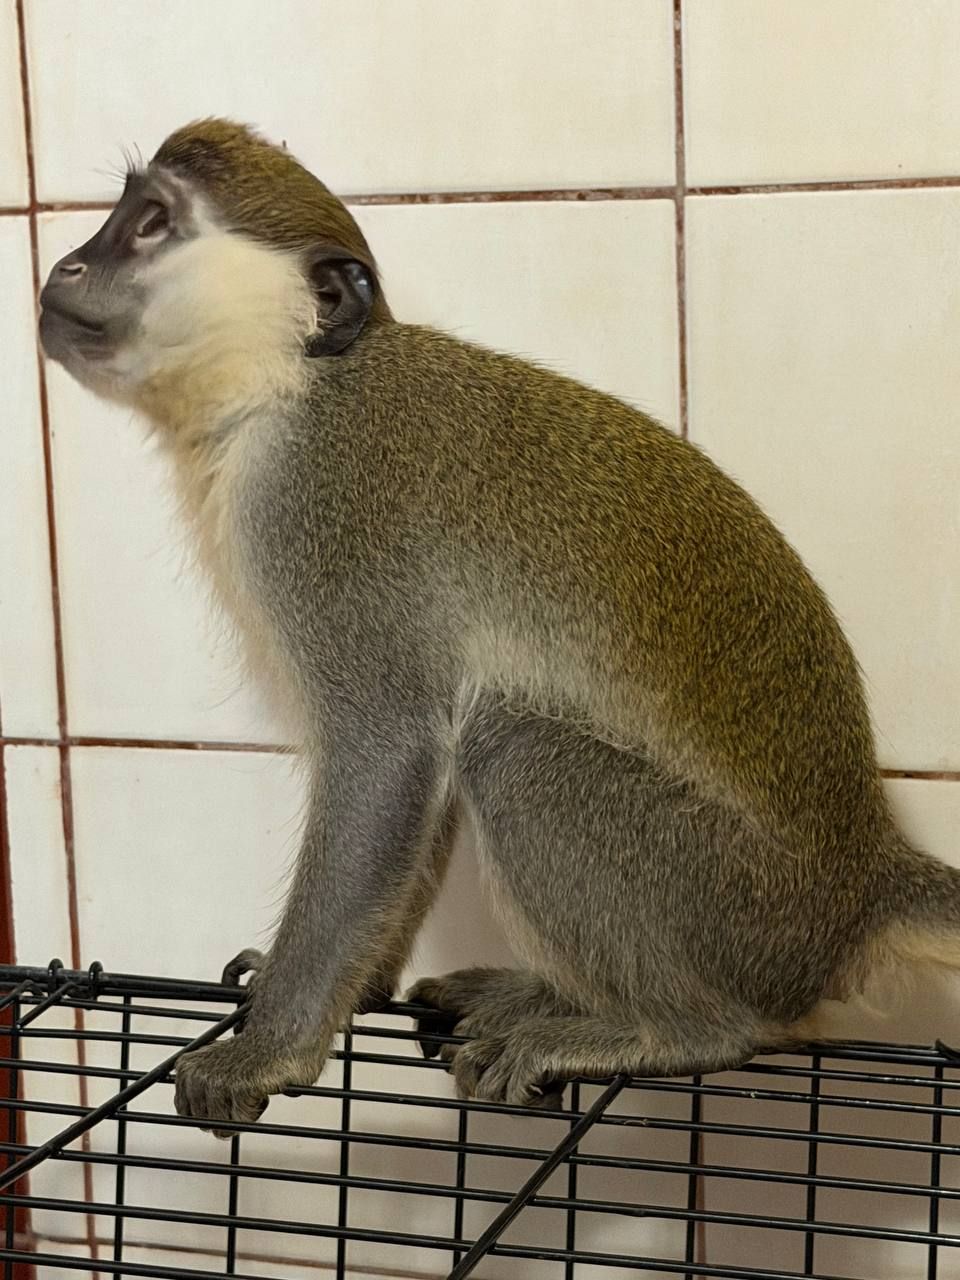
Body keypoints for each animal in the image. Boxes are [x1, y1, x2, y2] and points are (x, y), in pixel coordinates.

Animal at [37, 117, 960, 1135]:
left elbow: (388, 751)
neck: (288, 386)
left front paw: (272, 1047)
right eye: (124, 213)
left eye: (150, 223)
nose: (68, 265)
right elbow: (422, 760)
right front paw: (353, 989)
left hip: (737, 908)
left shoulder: (319, 511)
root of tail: (863, 882)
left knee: (516, 746)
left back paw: (676, 1029)